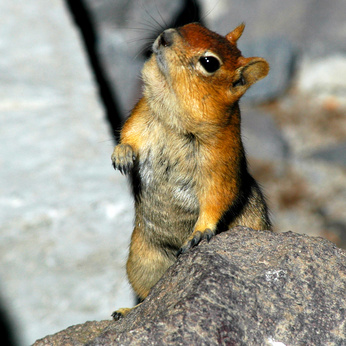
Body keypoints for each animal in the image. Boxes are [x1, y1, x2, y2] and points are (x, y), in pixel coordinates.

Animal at [111, 22, 270, 318]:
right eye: (192, 25)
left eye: (210, 62)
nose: (165, 36)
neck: (174, 117)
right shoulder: (141, 116)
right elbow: (128, 137)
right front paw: (122, 155)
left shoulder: (221, 161)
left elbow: (218, 196)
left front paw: (200, 232)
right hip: (142, 261)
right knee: (150, 294)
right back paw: (126, 311)